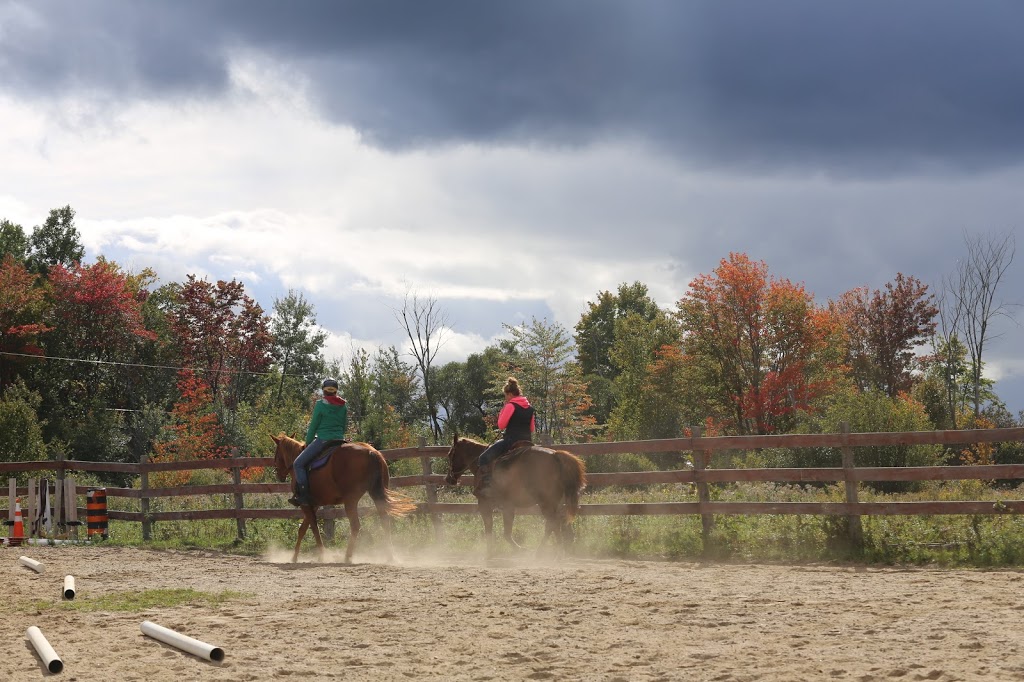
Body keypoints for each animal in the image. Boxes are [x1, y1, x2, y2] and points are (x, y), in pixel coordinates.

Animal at [272, 432, 419, 561]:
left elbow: (313, 527)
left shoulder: (305, 504)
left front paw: (320, 555)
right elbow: (303, 528)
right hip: (376, 495)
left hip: (351, 500)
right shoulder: (314, 504)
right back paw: (390, 556)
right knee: (384, 521)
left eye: (276, 453)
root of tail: (371, 452)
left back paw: (347, 556)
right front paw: (295, 556)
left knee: (355, 525)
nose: (278, 474)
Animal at [446, 436, 589, 552]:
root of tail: (555, 455)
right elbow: (506, 532)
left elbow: (490, 528)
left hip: (546, 502)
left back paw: (550, 552)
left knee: (552, 523)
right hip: (556, 502)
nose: (448, 479)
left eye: (450, 454)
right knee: (557, 523)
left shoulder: (484, 503)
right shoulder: (508, 505)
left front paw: (491, 552)